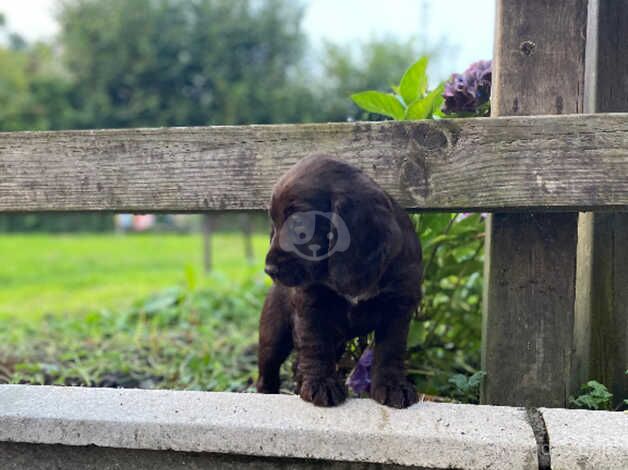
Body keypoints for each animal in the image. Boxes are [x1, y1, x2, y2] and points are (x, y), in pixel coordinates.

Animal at [255, 155, 422, 408]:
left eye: (300, 224)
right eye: (273, 224)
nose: (269, 270)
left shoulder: (398, 307)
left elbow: (391, 350)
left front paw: (393, 386)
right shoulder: (311, 305)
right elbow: (315, 345)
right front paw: (320, 384)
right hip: (274, 333)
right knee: (268, 368)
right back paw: (268, 393)